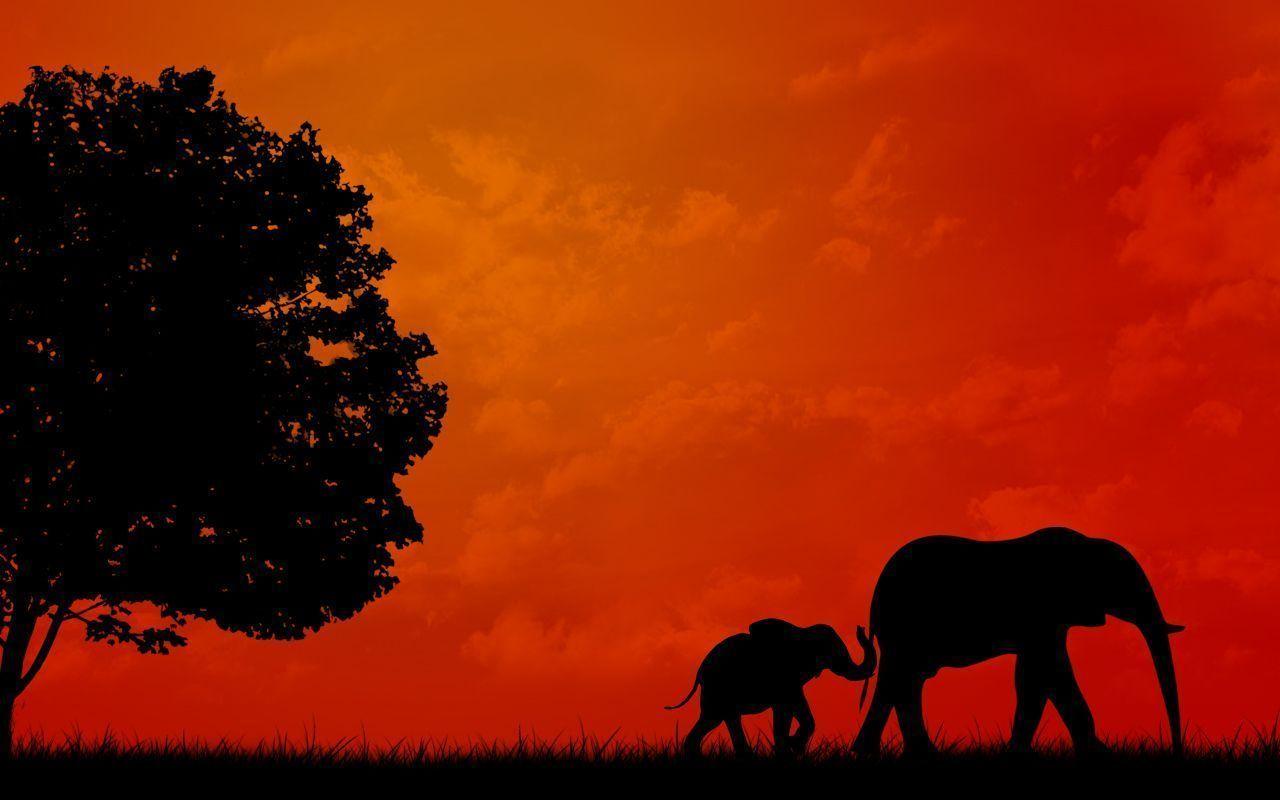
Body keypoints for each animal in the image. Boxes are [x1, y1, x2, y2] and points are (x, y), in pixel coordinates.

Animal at [667, 618, 876, 756]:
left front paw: (788, 747)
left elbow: (789, 712)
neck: (803, 632)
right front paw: (791, 745)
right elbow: (792, 709)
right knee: (716, 719)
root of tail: (700, 671)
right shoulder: (784, 677)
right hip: (717, 689)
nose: (861, 629)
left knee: (719, 720)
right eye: (831, 650)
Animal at [851, 527, 1183, 756]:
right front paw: (1097, 753)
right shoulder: (1042, 614)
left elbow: (1040, 674)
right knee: (901, 678)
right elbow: (1046, 674)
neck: (1086, 542)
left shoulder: (1050, 621)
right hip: (905, 627)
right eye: (1128, 585)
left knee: (906, 680)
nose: (1176, 750)